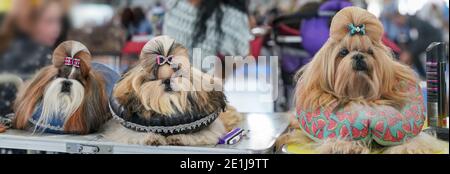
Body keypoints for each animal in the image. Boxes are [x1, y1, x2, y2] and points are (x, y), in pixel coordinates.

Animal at [103, 35, 241, 145]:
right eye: (154, 77)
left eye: (178, 73)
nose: (167, 80)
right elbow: (132, 133)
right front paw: (152, 137)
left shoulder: (210, 131)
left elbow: (199, 134)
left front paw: (178, 137)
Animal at [280, 6, 448, 154]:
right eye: (343, 52)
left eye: (370, 52)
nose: (359, 56)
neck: (359, 94)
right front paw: (345, 145)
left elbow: (411, 137)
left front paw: (408, 147)